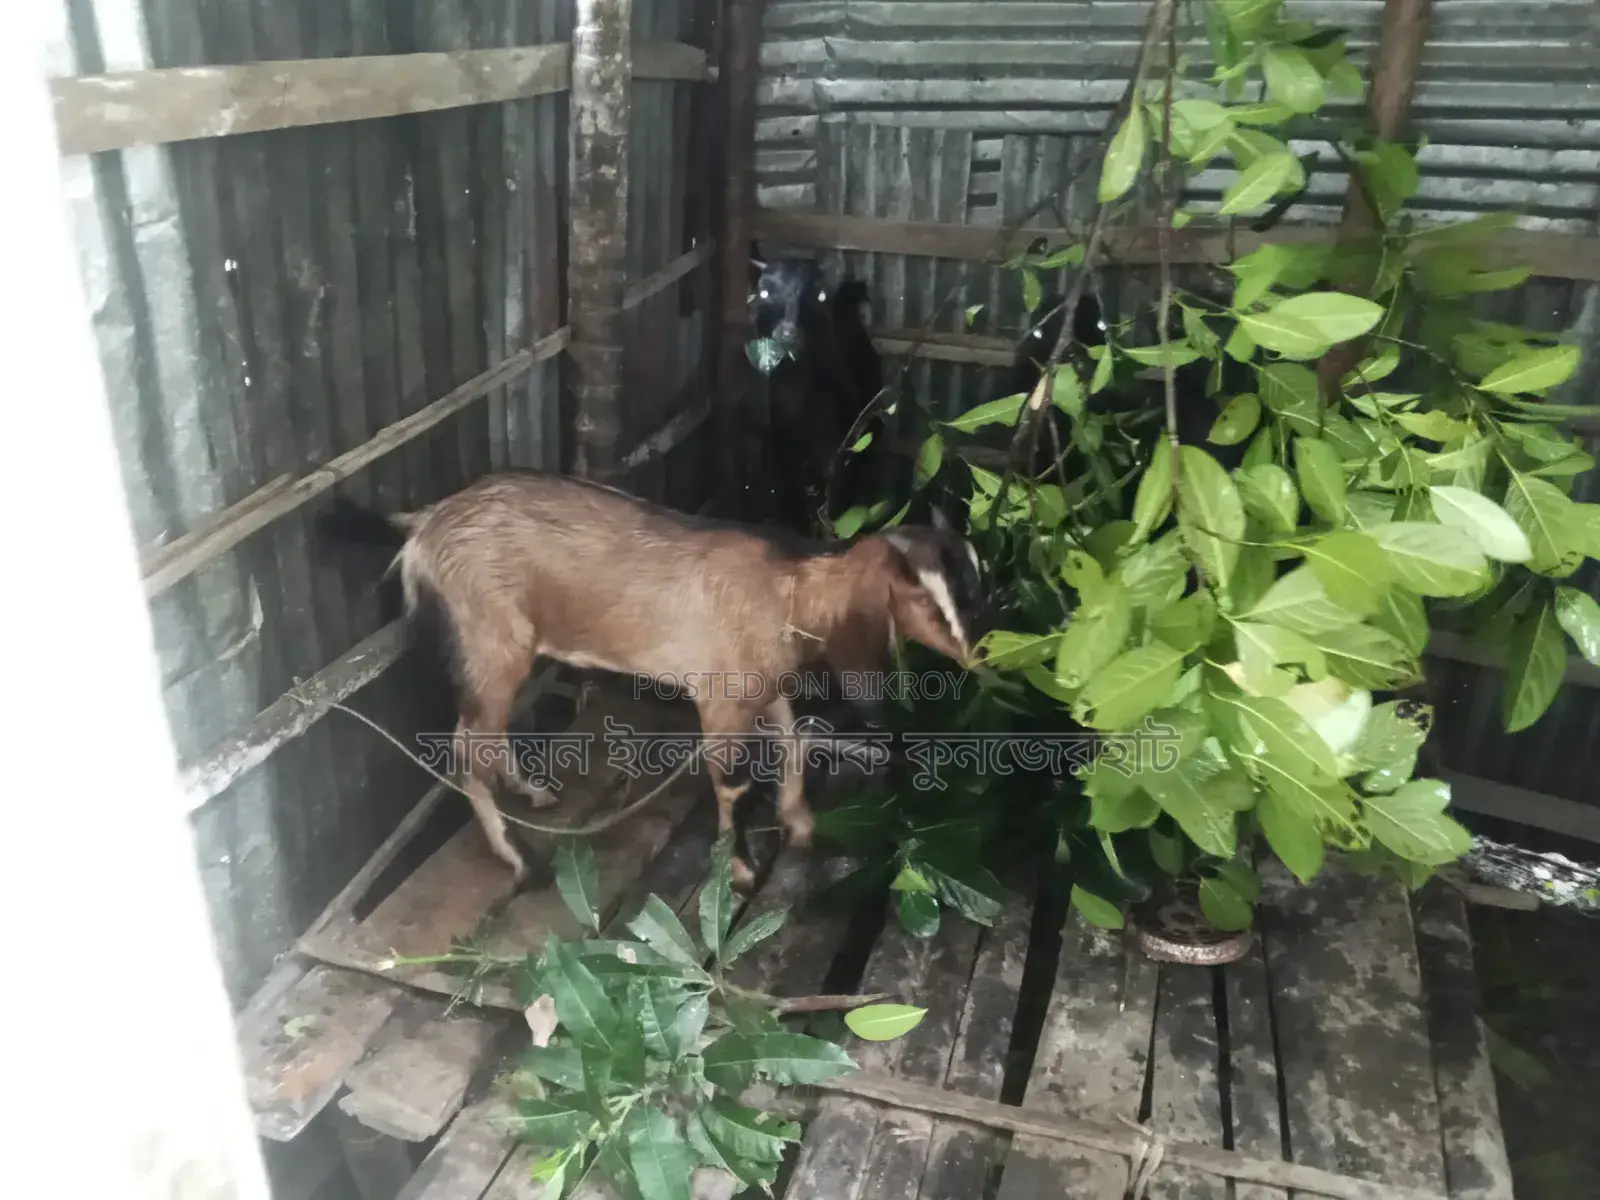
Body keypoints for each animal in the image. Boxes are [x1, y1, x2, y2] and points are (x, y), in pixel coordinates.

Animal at [316, 471, 983, 889]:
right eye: (923, 601)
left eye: (977, 583)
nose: (977, 655)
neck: (789, 589)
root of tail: (423, 524)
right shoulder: (720, 698)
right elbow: (733, 783)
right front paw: (740, 868)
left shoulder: (762, 688)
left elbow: (793, 744)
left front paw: (799, 822)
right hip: (488, 639)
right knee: (465, 744)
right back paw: (519, 859)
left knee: (484, 731)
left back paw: (531, 792)